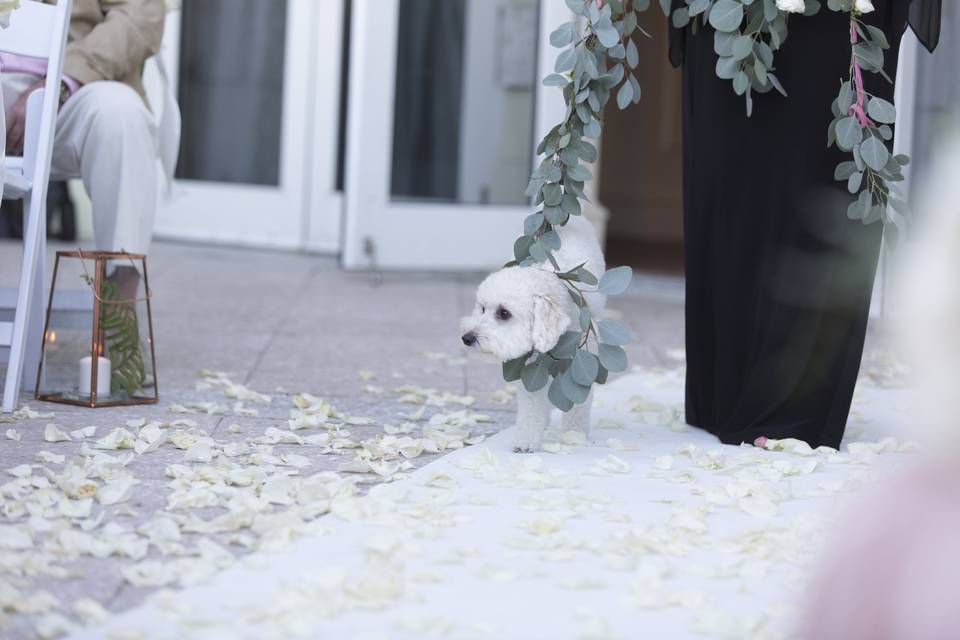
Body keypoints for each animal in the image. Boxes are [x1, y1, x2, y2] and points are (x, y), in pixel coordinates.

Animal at [460, 215, 608, 450]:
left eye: (504, 313)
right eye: (482, 308)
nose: (467, 338)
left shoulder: (580, 362)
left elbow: (578, 405)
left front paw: (574, 435)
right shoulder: (530, 367)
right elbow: (532, 405)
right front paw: (526, 440)